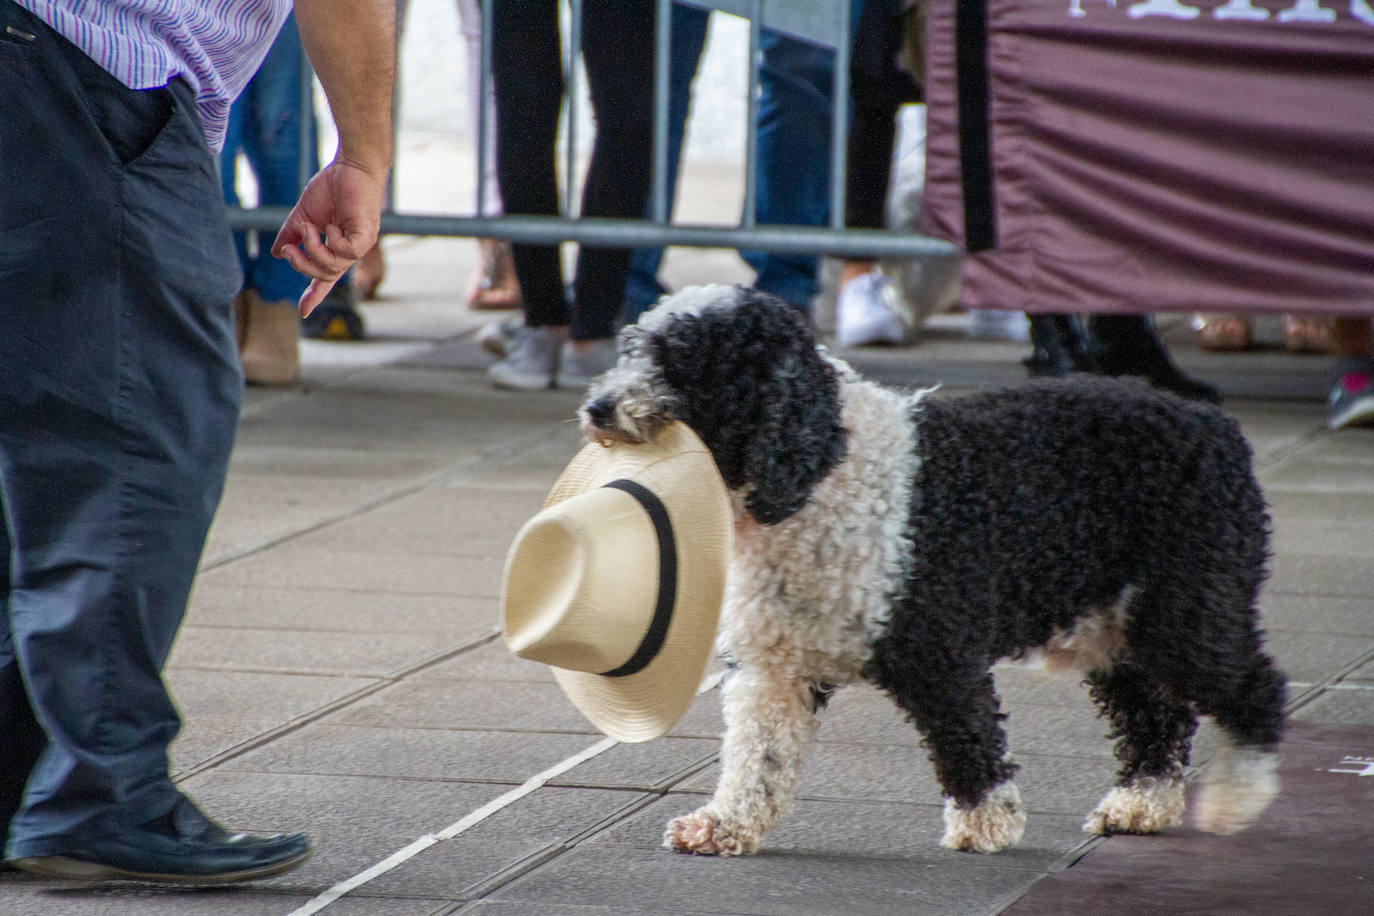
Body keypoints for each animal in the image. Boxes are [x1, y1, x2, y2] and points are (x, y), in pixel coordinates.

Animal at [574, 287, 1280, 862]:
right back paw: (1142, 804)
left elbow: (965, 733)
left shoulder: (937, 647)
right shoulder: (772, 666)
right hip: (1113, 626)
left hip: (1187, 608)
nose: (598, 405)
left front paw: (986, 823)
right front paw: (723, 826)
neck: (819, 470)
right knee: (1154, 719)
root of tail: (1216, 425)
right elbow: (758, 757)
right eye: (631, 347)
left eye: (681, 359)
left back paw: (1238, 795)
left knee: (1255, 687)